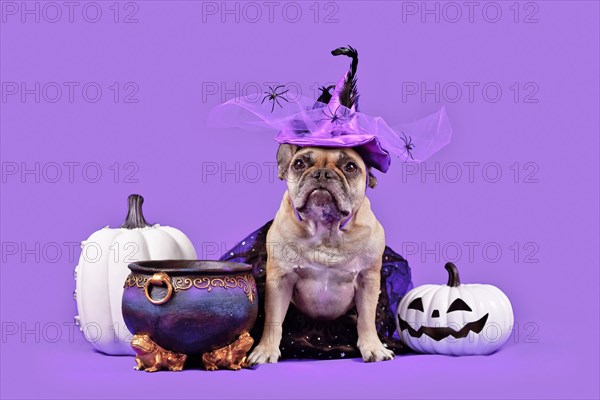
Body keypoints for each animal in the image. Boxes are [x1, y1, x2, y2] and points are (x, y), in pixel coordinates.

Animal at [245, 145, 392, 364]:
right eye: (299, 164)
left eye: (350, 167)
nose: (322, 173)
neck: (325, 229)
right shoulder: (279, 281)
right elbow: (273, 320)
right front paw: (265, 350)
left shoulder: (368, 280)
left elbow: (367, 318)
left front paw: (373, 347)